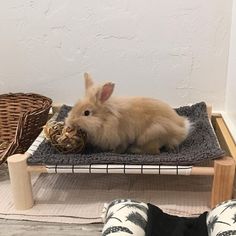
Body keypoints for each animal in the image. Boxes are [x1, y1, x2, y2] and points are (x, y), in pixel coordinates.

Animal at [64, 74, 192, 155]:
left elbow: (120, 147)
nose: (69, 122)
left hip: (152, 134)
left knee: (154, 151)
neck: (105, 119)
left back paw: (134, 150)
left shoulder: (121, 137)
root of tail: (182, 129)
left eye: (86, 113)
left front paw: (115, 152)